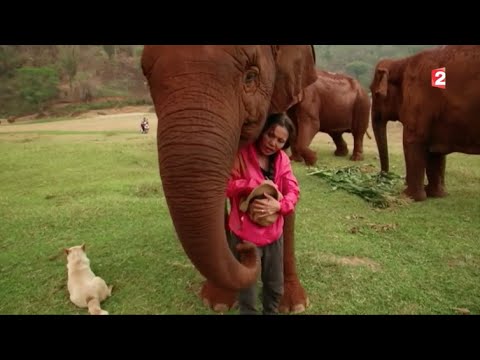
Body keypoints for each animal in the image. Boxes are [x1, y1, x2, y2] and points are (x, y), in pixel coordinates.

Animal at [140, 45, 318, 312]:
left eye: (250, 76)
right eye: (148, 81)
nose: (246, 248)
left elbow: (288, 188)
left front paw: (295, 305)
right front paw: (218, 302)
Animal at [372, 45, 480, 201]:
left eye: (375, 94)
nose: (382, 178)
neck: (401, 63)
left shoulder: (418, 99)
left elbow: (412, 141)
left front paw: (409, 196)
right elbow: (436, 151)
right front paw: (436, 194)